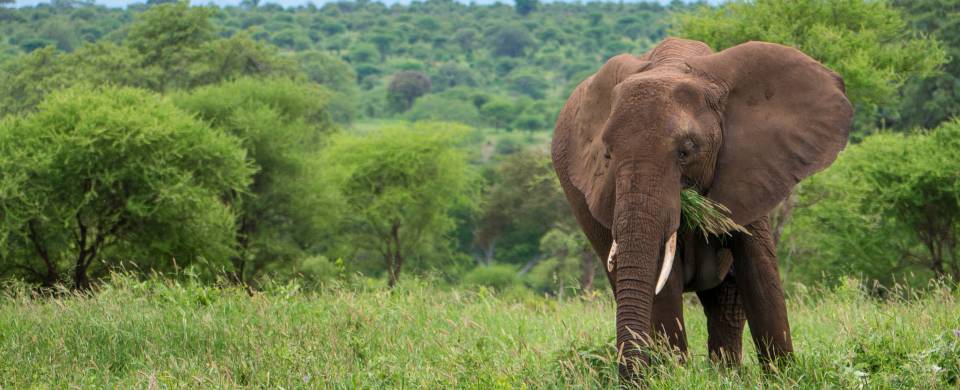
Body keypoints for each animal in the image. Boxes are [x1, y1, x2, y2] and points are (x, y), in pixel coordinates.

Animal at [552, 38, 852, 380]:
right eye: (608, 155)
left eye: (685, 151)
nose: (632, 377)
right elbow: (664, 282)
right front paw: (673, 376)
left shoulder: (750, 169)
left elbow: (759, 269)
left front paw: (784, 377)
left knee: (727, 304)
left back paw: (726, 374)